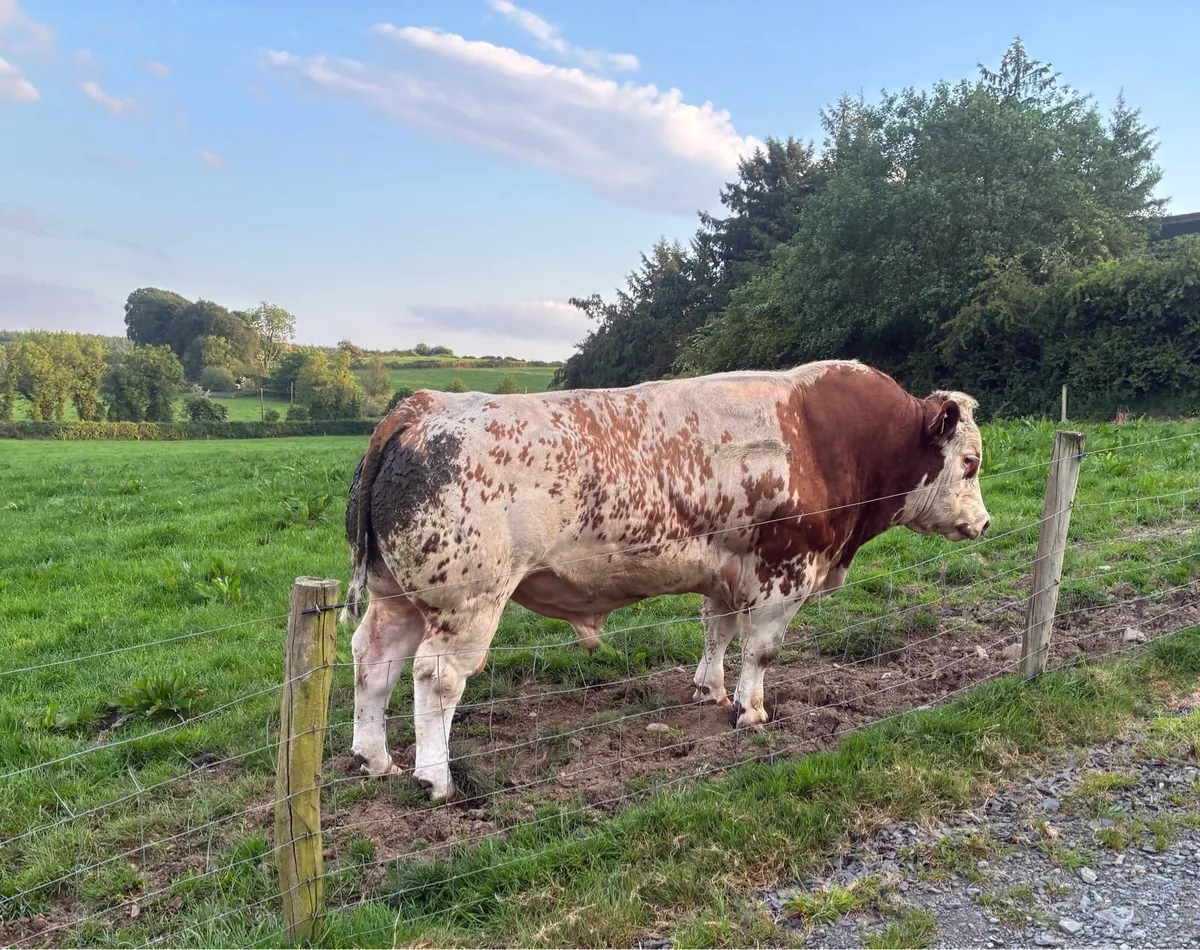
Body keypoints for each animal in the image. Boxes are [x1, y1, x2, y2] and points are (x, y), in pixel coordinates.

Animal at [340, 359, 990, 801]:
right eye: (970, 462)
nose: (984, 522)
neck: (829, 438)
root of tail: (420, 407)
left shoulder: (730, 569)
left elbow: (718, 632)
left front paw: (711, 690)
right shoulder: (786, 571)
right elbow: (761, 650)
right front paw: (751, 712)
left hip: (395, 596)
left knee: (374, 661)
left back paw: (375, 760)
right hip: (466, 603)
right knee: (436, 678)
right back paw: (435, 778)